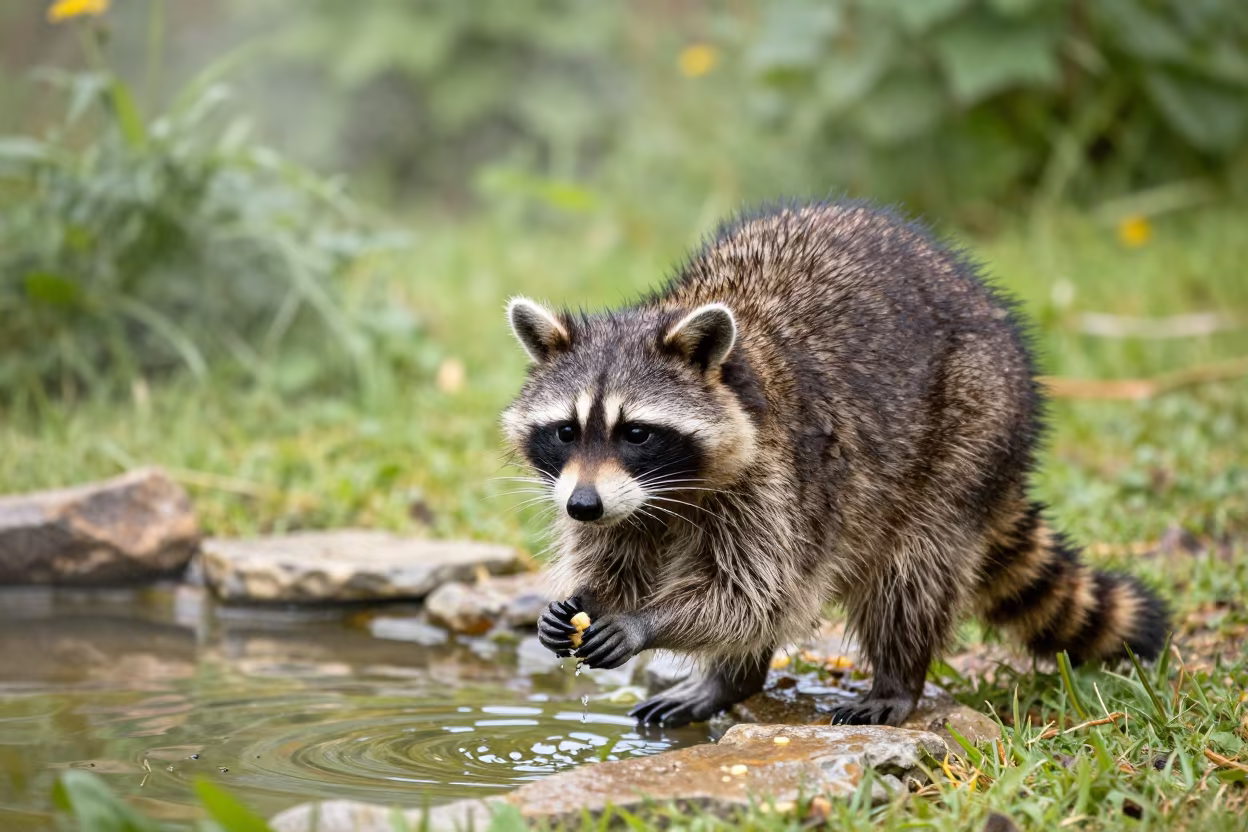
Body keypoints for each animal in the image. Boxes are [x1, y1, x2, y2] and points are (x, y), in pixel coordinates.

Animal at [501, 201, 1168, 727]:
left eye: (636, 433)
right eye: (566, 430)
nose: (582, 506)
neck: (672, 493)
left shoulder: (780, 479)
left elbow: (754, 595)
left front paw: (644, 622)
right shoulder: (618, 499)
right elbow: (623, 560)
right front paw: (592, 597)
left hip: (973, 428)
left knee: (913, 572)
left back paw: (897, 679)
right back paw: (732, 681)